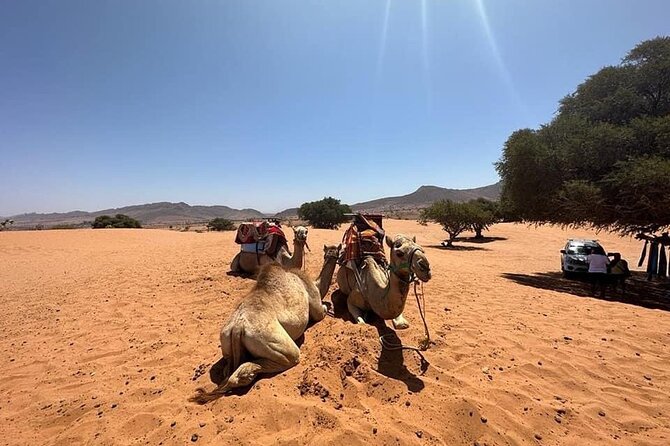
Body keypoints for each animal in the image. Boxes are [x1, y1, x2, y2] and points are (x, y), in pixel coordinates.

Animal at [193, 244, 342, 404]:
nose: (335, 253)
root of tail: (238, 327)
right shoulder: (316, 304)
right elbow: (322, 311)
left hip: (225, 341)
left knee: (228, 369)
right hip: (273, 341)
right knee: (286, 358)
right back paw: (249, 375)